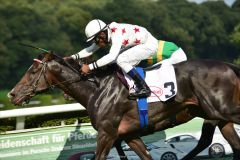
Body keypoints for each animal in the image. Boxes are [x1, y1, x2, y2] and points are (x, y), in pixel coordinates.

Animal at [7, 52, 240, 159]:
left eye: (33, 71)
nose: (12, 94)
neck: (97, 89)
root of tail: (228, 66)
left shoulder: (107, 133)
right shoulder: (129, 135)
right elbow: (144, 155)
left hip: (222, 109)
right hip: (217, 116)